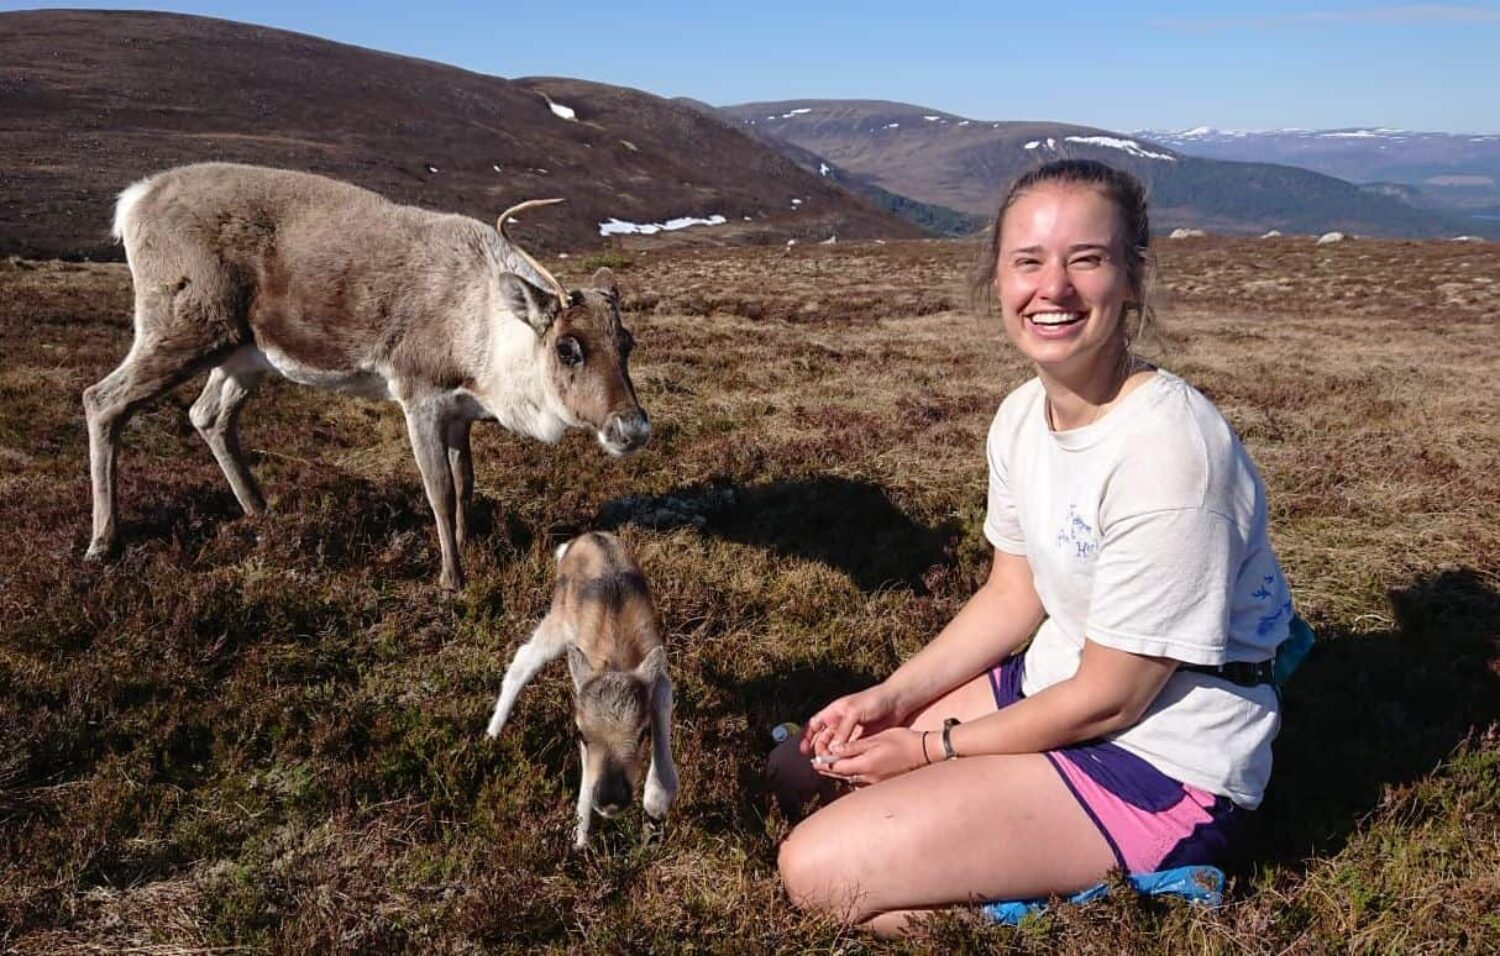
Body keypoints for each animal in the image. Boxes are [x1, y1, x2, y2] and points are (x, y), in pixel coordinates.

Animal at [486, 528, 681, 852]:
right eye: (579, 733)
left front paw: (656, 803)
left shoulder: (659, 675)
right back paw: (492, 732)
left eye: (643, 732)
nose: (611, 798)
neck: (617, 655)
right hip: (558, 621)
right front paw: (579, 839)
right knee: (524, 659)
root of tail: (582, 538)